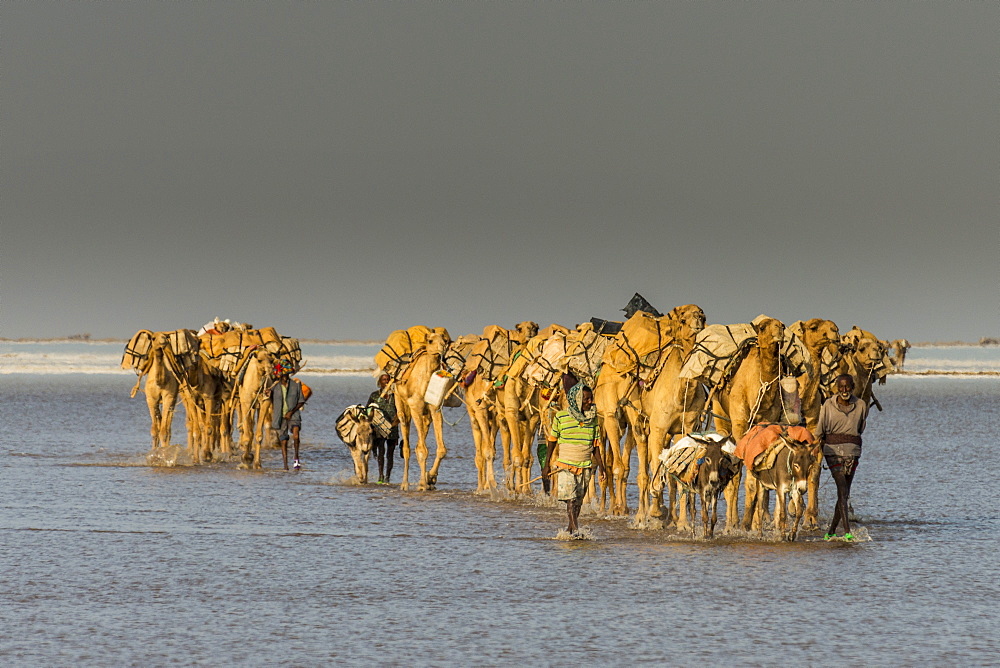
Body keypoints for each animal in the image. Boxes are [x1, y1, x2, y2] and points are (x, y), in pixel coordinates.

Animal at [394, 328, 454, 490]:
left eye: (445, 340)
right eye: (431, 341)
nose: (442, 349)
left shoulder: (435, 408)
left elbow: (441, 449)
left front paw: (430, 478)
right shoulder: (415, 406)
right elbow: (422, 450)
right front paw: (422, 484)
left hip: (426, 416)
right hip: (401, 404)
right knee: (406, 446)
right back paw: (404, 484)